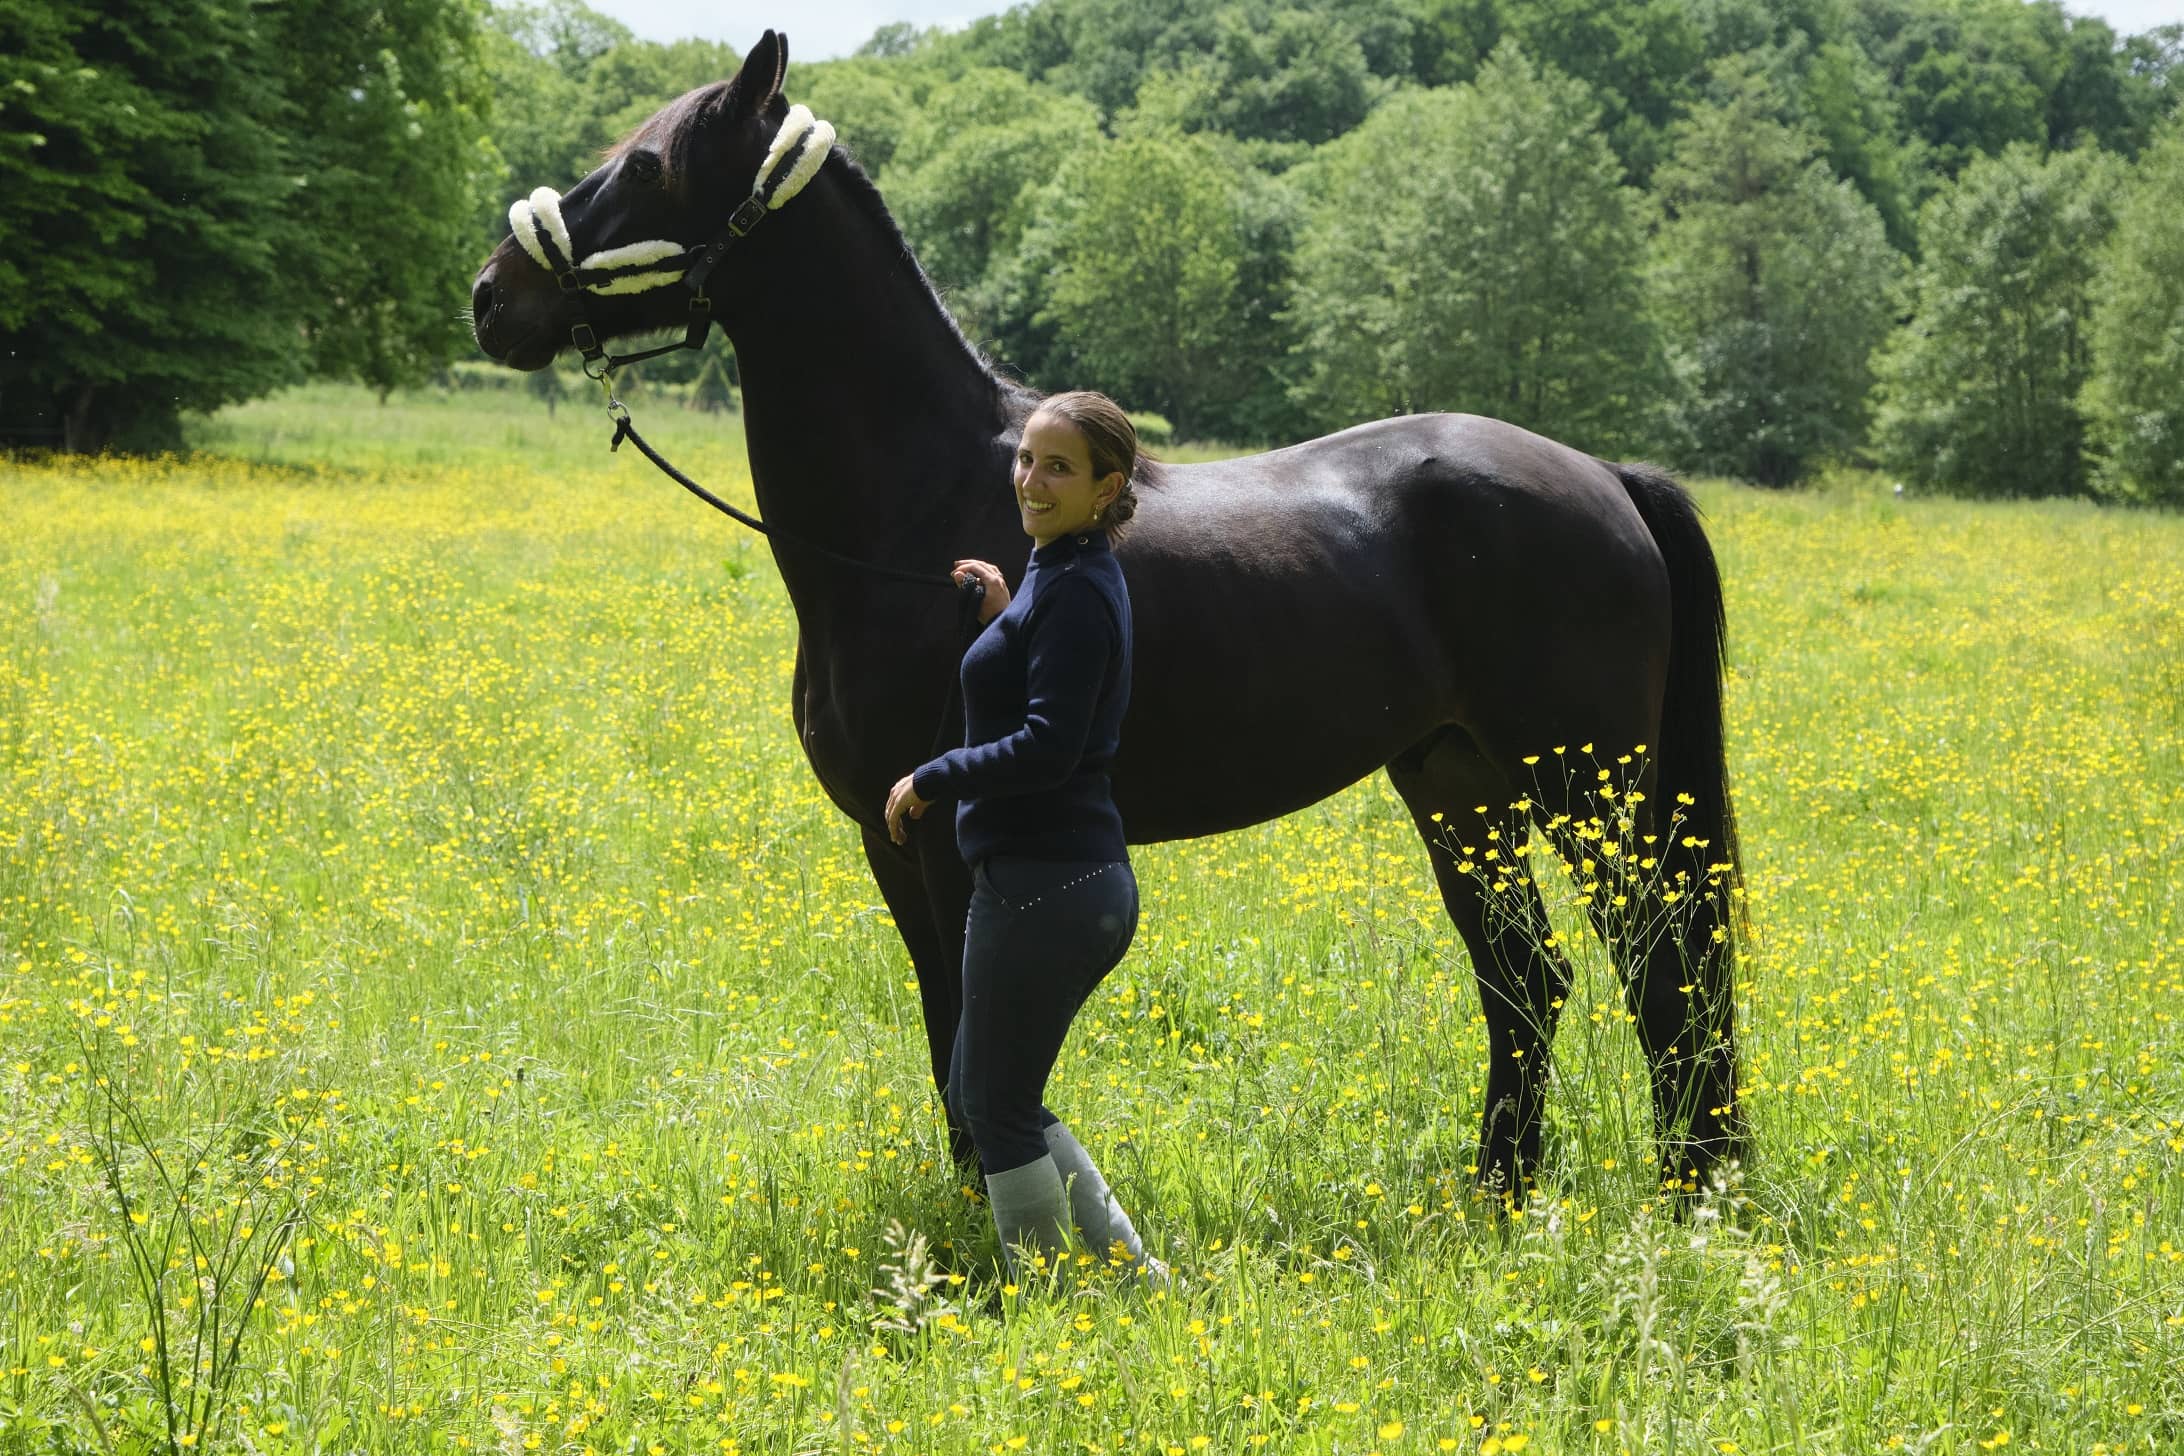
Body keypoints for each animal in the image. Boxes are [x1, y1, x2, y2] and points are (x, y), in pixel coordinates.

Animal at [469, 31, 1747, 1196]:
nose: (490, 297)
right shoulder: (895, 845)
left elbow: (965, 1036)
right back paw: (1501, 1192)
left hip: (1586, 788)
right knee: (1528, 980)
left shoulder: (946, 841)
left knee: (1664, 960)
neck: (921, 504)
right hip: (1459, 785)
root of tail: (1606, 476)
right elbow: (947, 1039)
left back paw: (1688, 1190)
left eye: (644, 168)